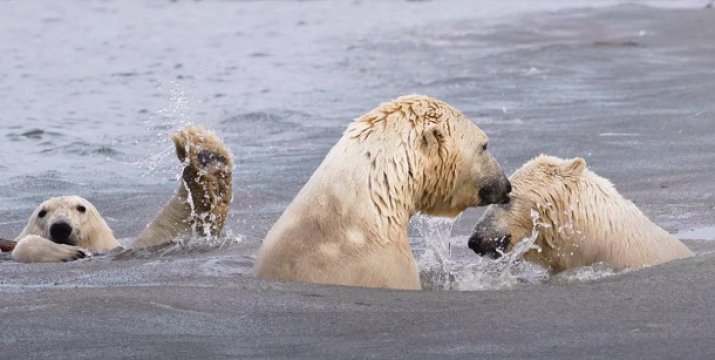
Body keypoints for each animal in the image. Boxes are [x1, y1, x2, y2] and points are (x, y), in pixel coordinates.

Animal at [4, 125, 234, 262]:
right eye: (42, 213)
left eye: (81, 208)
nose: (60, 227)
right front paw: (66, 252)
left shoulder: (122, 248)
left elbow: (174, 227)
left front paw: (206, 156)